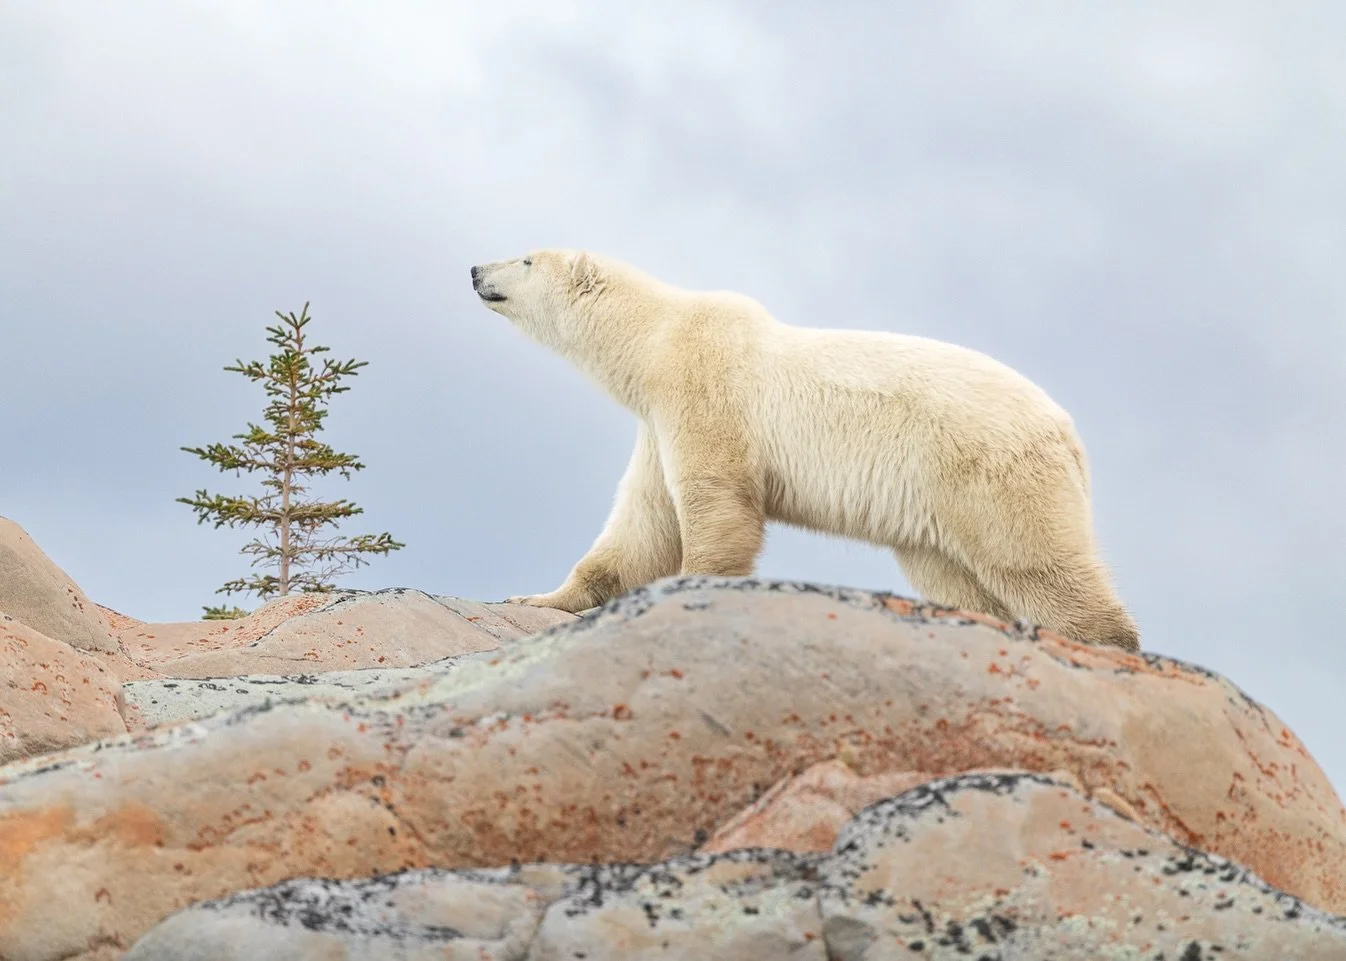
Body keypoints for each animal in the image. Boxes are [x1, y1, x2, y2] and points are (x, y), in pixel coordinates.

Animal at [469, 249, 1140, 650]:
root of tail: (1068, 432)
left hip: (988, 468)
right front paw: (538, 597)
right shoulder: (656, 423)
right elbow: (641, 521)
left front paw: (692, 586)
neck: (656, 339)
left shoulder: (703, 392)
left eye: (525, 257)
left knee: (1035, 561)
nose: (475, 271)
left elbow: (716, 502)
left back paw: (1109, 643)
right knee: (958, 578)